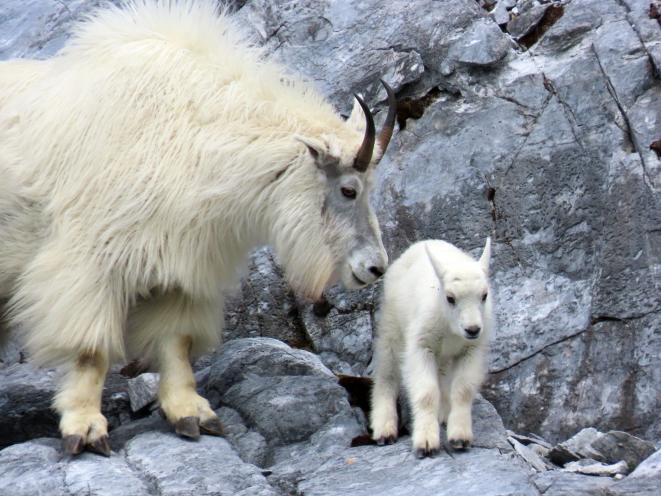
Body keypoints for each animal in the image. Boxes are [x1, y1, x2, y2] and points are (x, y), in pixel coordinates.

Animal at [0, 0, 392, 458]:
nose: (375, 268)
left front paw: (192, 415)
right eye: (348, 189)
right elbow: (90, 351)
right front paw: (85, 428)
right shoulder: (89, 262)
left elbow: (177, 343)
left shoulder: (180, 270)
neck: (190, 132)